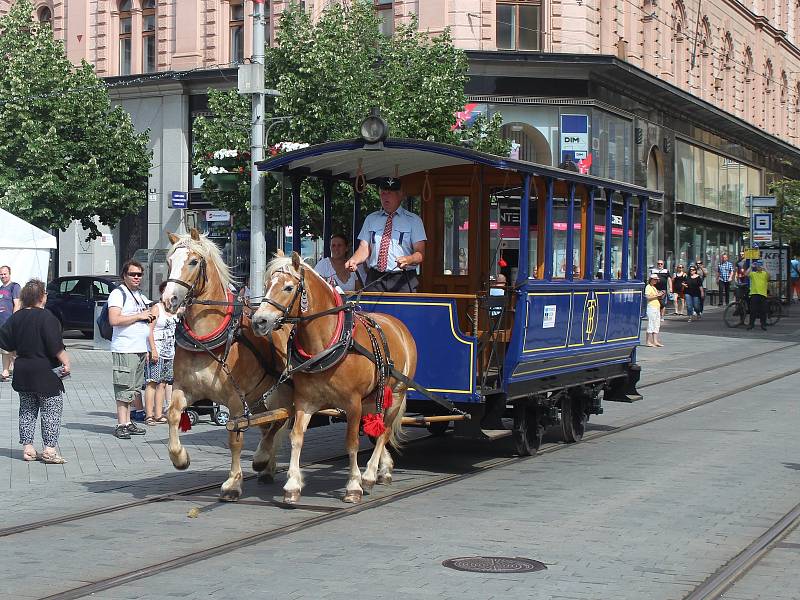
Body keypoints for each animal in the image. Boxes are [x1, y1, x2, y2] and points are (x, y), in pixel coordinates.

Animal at [161, 230, 292, 502]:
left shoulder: (235, 399)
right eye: (169, 261)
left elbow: (235, 439)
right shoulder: (183, 388)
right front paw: (180, 458)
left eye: (193, 262)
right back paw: (268, 466)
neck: (205, 339)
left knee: (281, 419)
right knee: (269, 423)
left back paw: (263, 457)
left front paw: (233, 483)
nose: (169, 299)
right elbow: (173, 414)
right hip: (260, 396)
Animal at [253, 251, 418, 504]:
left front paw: (354, 485)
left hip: (397, 393)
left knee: (385, 431)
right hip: (374, 398)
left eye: (289, 287)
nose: (259, 321)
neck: (328, 344)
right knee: (378, 428)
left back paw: (370, 475)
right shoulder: (305, 401)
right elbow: (296, 437)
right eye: (267, 285)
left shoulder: (352, 403)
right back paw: (383, 469)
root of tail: (398, 324)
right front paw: (292, 485)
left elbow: (351, 442)